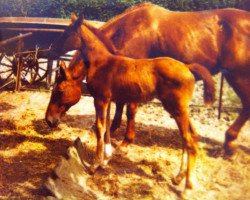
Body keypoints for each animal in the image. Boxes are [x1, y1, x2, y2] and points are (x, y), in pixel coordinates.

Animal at [46, 14, 203, 194]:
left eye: (59, 91)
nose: (49, 120)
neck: (102, 63)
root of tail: (188, 68)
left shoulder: (100, 99)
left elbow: (100, 128)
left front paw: (94, 165)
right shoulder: (107, 100)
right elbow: (107, 127)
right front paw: (105, 160)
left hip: (176, 109)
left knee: (189, 142)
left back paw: (188, 187)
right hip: (179, 110)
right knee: (189, 138)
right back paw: (178, 178)